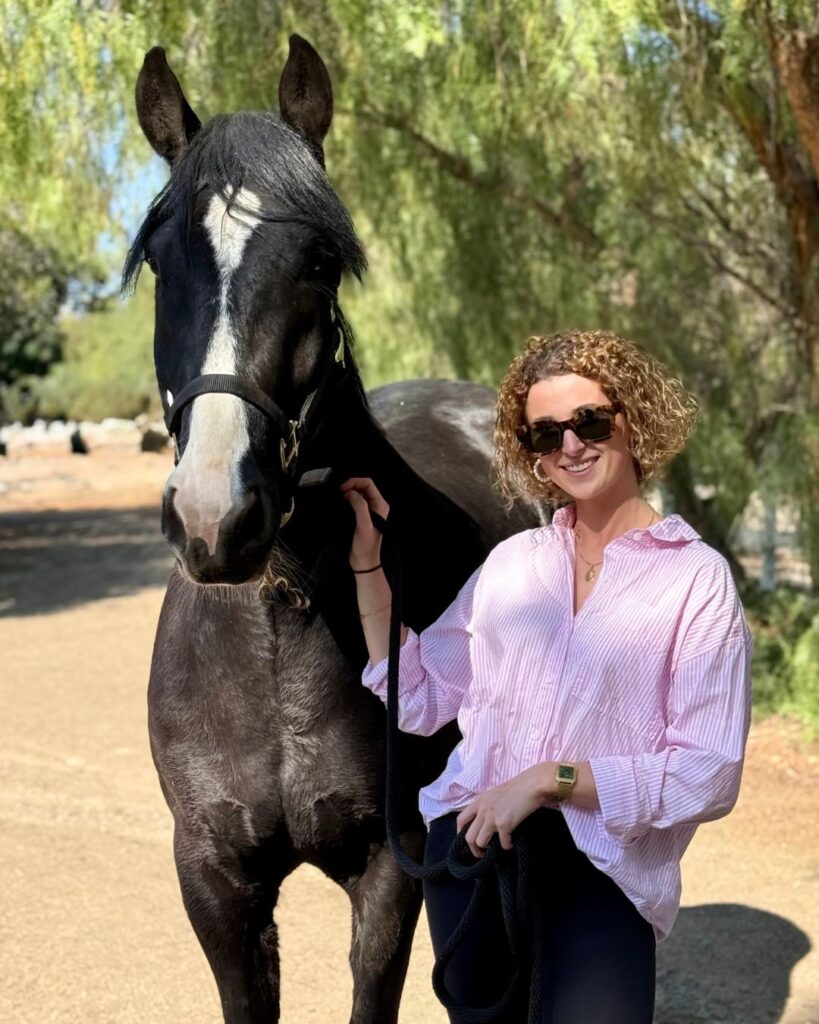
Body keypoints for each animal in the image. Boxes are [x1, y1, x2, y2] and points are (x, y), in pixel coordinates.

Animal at [126, 36, 536, 1024]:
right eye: (158, 257)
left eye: (318, 259)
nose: (216, 516)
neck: (281, 618)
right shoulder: (215, 879)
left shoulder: (390, 869)